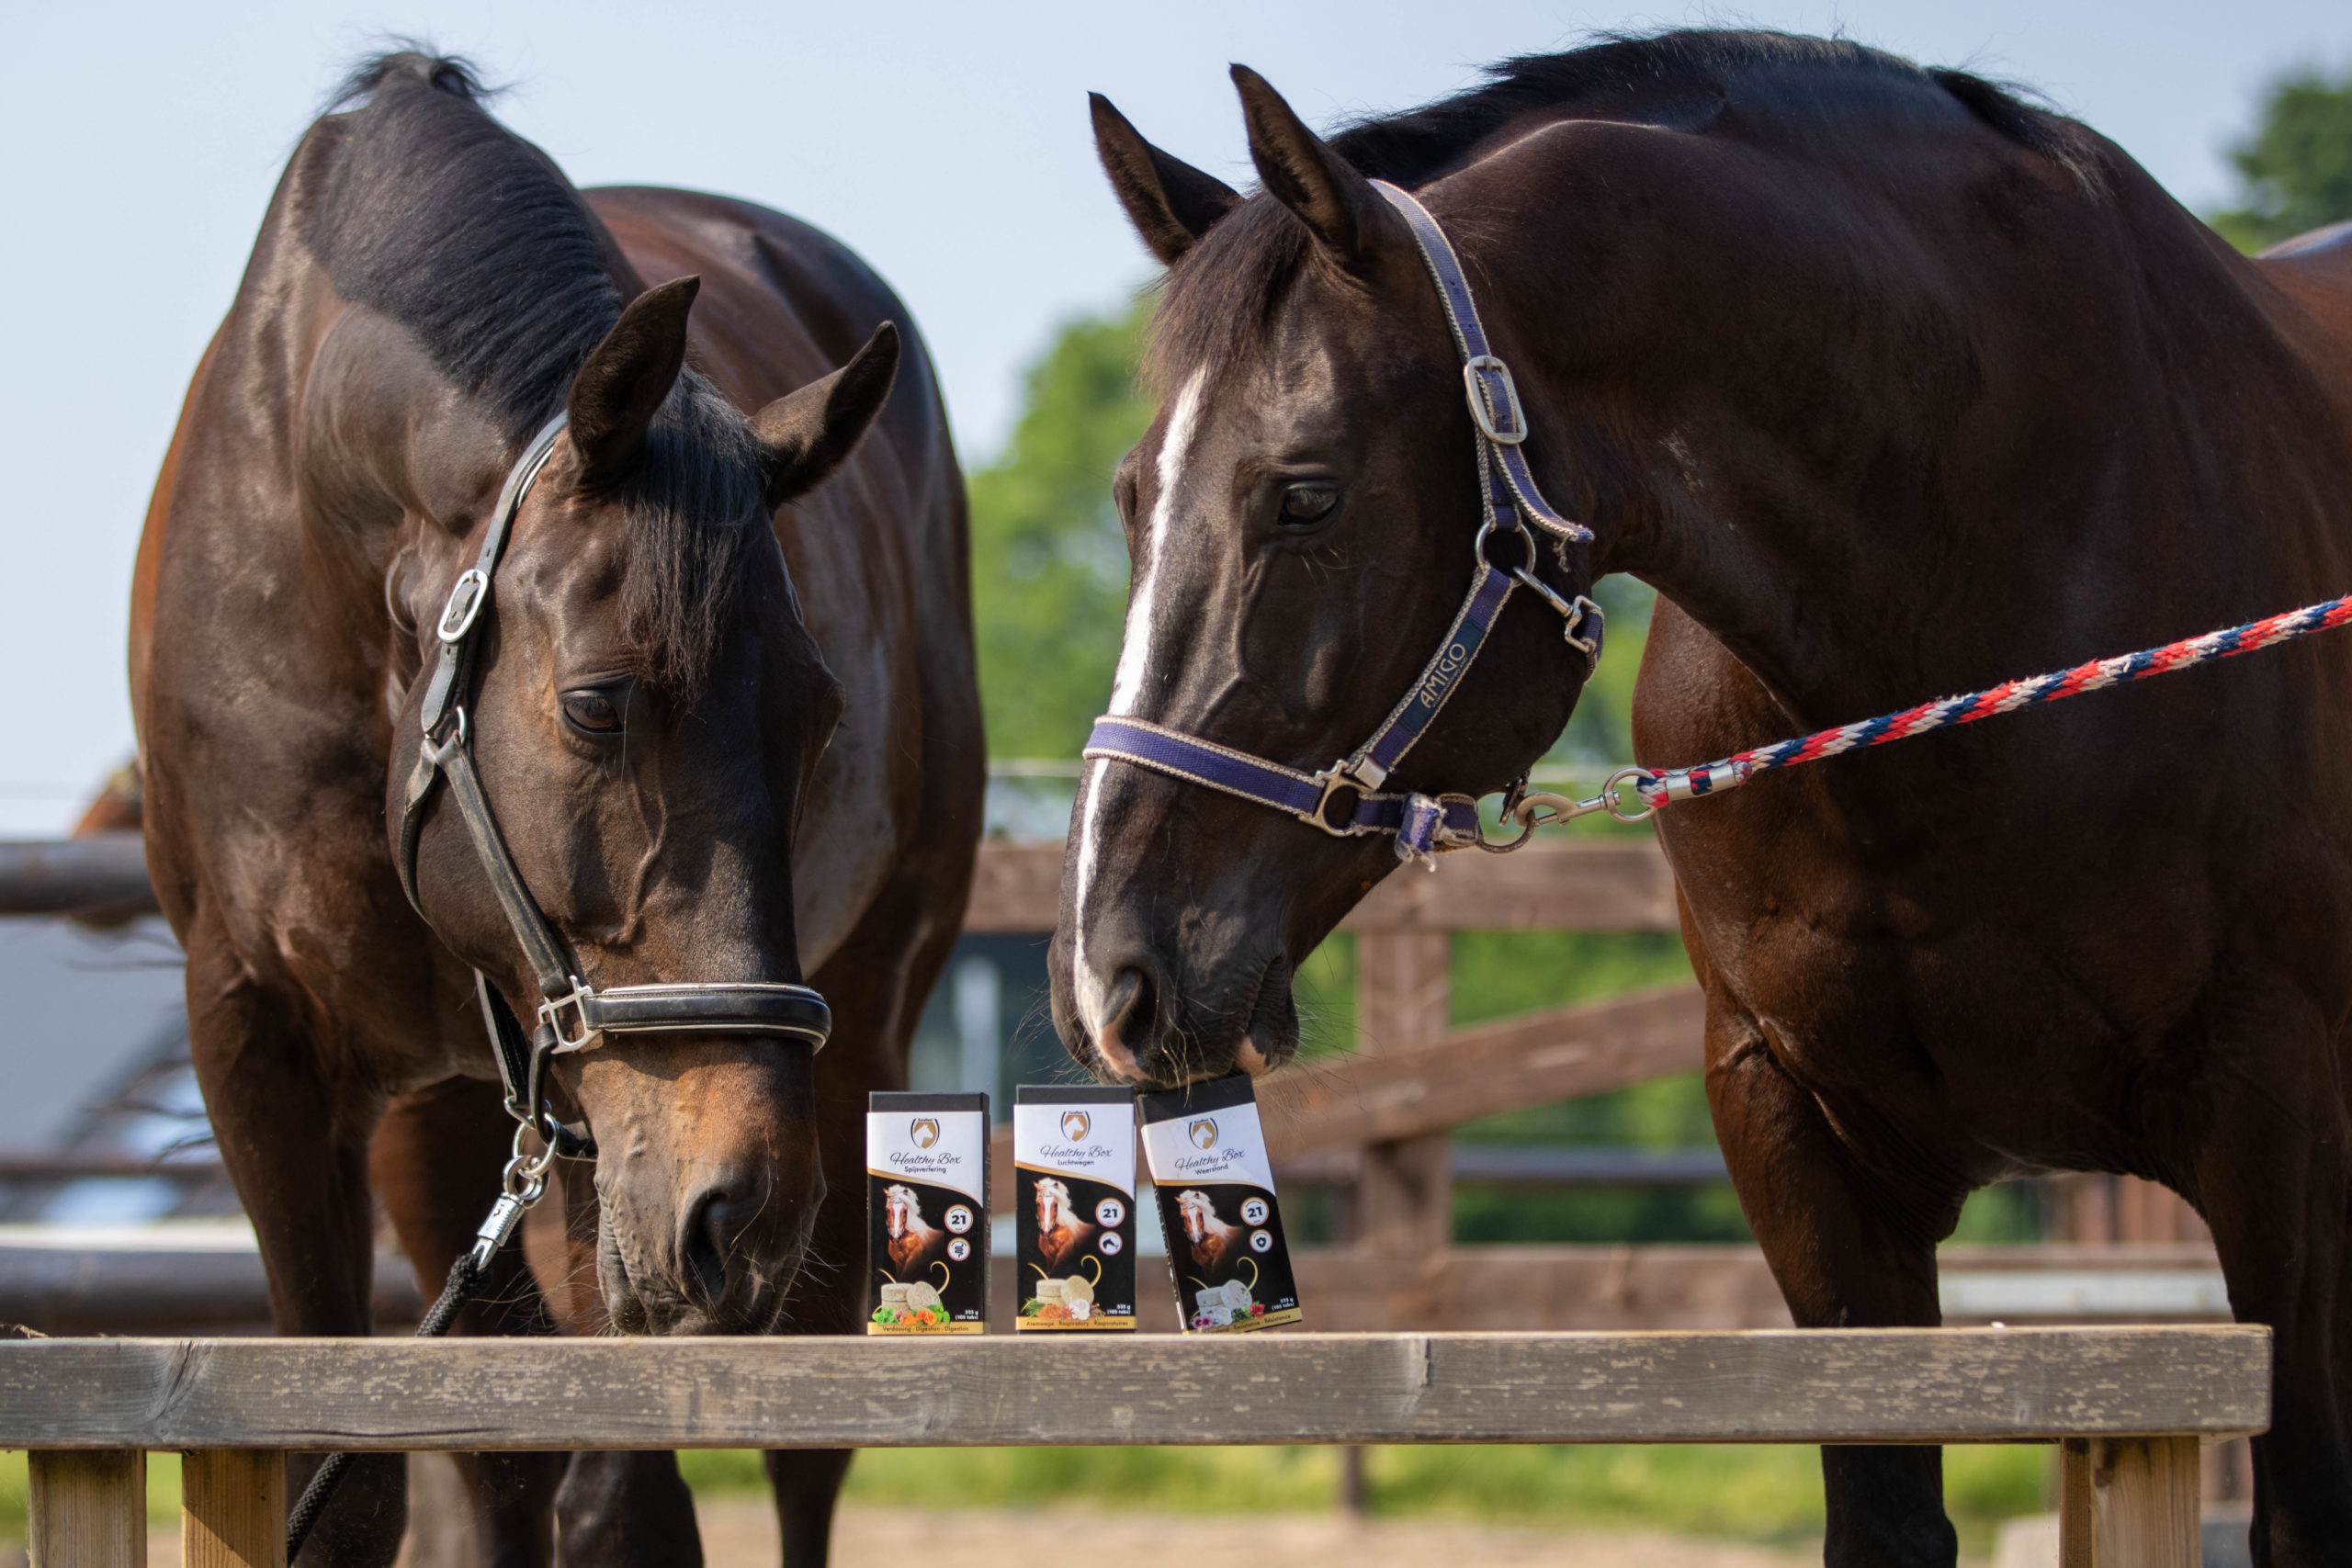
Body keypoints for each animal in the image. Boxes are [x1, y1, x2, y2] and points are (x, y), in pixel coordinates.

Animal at [132, 53, 981, 1568]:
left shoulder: (612, 1133)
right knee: (505, 1464)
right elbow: (364, 1480)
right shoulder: (257, 1039)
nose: (746, 1207)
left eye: (820, 715)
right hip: (447, 1122)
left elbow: (627, 1499)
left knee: (801, 1447)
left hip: (859, 1037)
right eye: (595, 704)